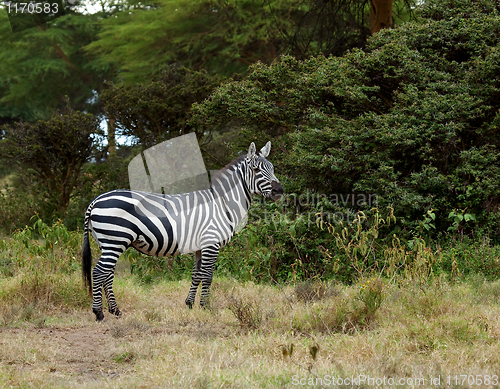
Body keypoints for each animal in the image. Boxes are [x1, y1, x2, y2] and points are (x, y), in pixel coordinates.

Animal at [82, 141, 286, 320]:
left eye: (273, 168)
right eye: (256, 170)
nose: (279, 191)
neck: (223, 203)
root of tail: (96, 199)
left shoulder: (200, 247)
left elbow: (196, 275)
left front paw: (189, 304)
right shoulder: (211, 244)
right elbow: (208, 276)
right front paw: (206, 307)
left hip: (108, 243)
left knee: (107, 274)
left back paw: (115, 311)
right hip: (115, 240)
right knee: (99, 272)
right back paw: (99, 313)